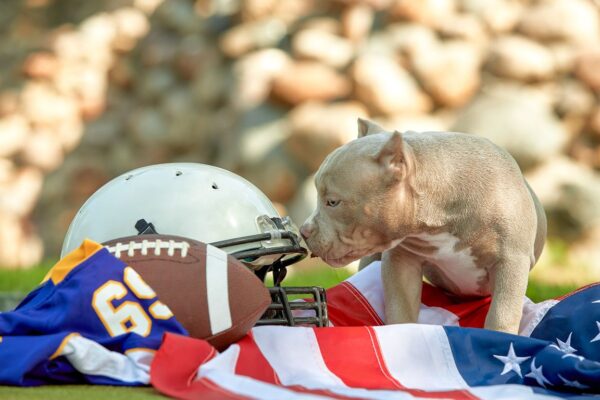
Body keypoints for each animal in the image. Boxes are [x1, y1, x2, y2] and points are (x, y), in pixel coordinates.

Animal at [302, 119, 548, 334]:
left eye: (333, 202)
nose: (304, 231)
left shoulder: (511, 261)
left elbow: (502, 313)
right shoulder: (401, 261)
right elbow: (400, 309)